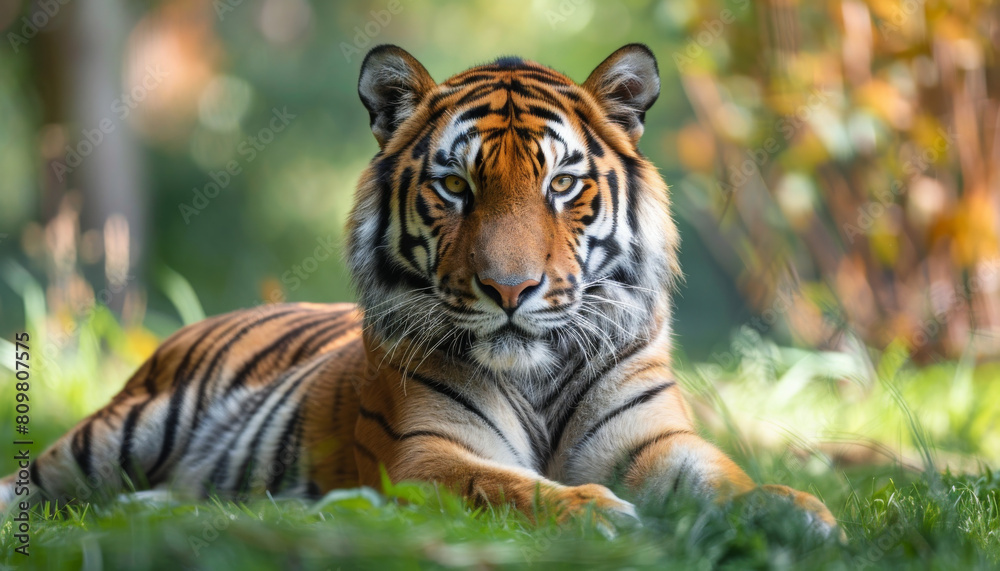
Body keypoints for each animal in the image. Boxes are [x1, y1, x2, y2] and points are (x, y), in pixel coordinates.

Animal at [0, 44, 838, 534]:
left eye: (563, 185)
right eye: (456, 187)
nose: (510, 288)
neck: (537, 373)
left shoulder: (655, 440)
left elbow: (725, 477)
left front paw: (795, 508)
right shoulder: (427, 455)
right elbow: (512, 486)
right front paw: (598, 511)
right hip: (117, 433)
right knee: (30, 480)